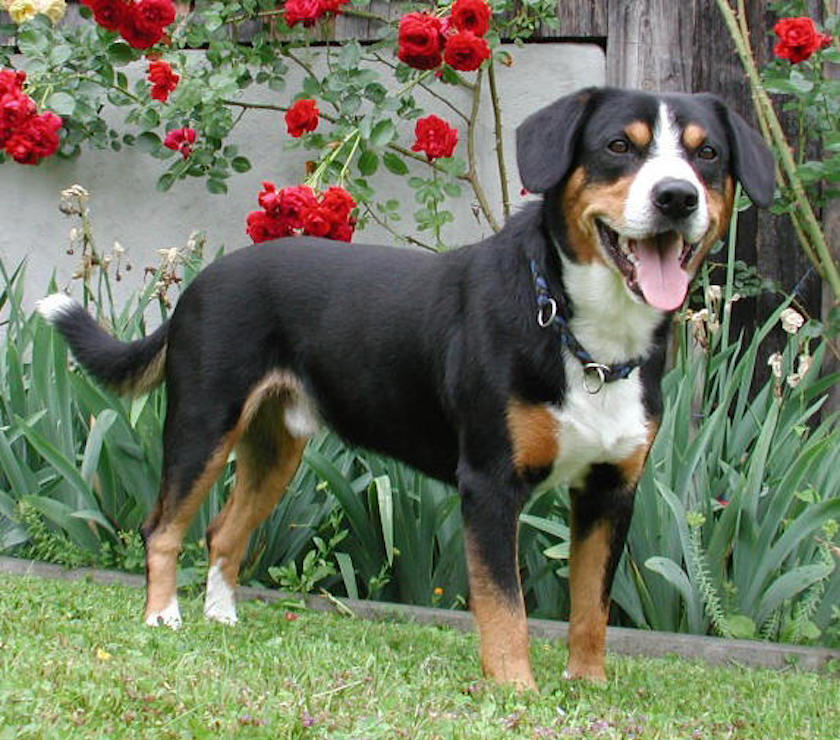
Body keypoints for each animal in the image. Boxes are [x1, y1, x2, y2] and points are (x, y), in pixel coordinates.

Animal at [39, 89, 776, 692]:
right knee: (164, 525)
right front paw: (518, 691)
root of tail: (203, 279)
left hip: (277, 447)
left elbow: (591, 606)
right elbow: (504, 605)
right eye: (619, 146)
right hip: (203, 423)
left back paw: (220, 617)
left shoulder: (610, 489)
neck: (585, 336)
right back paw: (163, 616)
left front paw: (588, 685)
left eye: (706, 154)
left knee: (224, 531)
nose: (677, 197)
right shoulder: (490, 484)